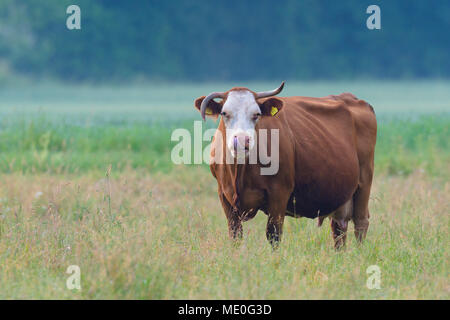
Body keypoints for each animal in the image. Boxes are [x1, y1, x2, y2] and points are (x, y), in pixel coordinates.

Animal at [193, 82, 376, 250]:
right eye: (225, 113)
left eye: (257, 114)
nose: (242, 141)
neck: (240, 171)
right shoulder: (224, 195)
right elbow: (235, 235)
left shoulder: (279, 193)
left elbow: (273, 234)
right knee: (339, 227)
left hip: (364, 181)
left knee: (360, 222)